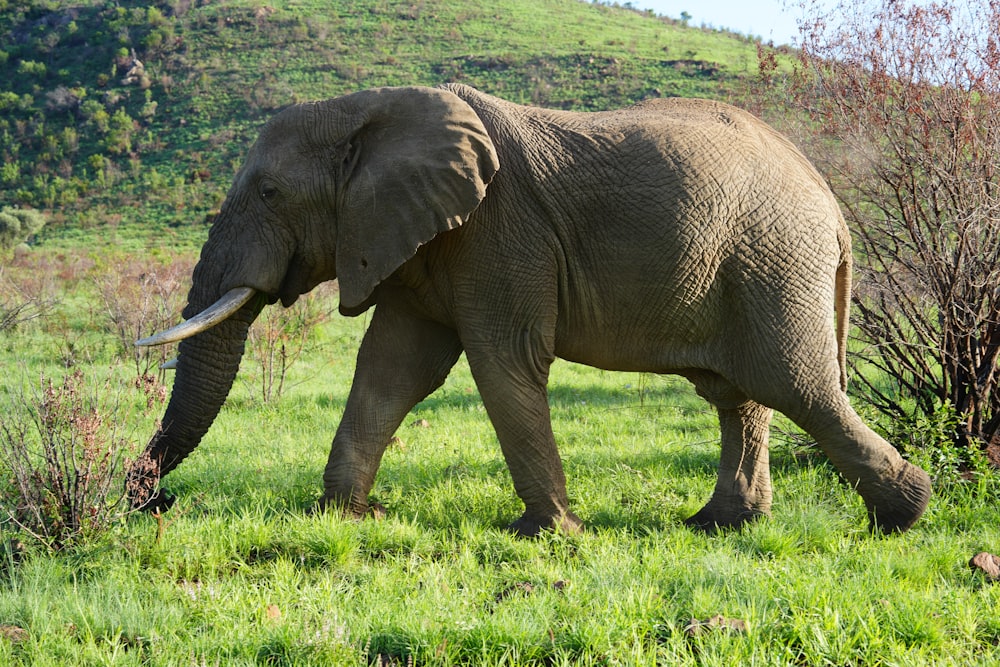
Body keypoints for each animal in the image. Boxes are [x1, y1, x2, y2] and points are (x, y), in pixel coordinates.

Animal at [129, 85, 932, 536]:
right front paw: (347, 518)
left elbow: (501, 360)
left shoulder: (497, 230)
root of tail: (830, 201)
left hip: (773, 261)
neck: (370, 110)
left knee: (799, 387)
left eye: (268, 193)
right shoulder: (423, 240)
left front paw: (550, 534)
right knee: (740, 394)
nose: (152, 502)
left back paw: (905, 513)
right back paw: (722, 526)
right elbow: (392, 369)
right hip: (749, 265)